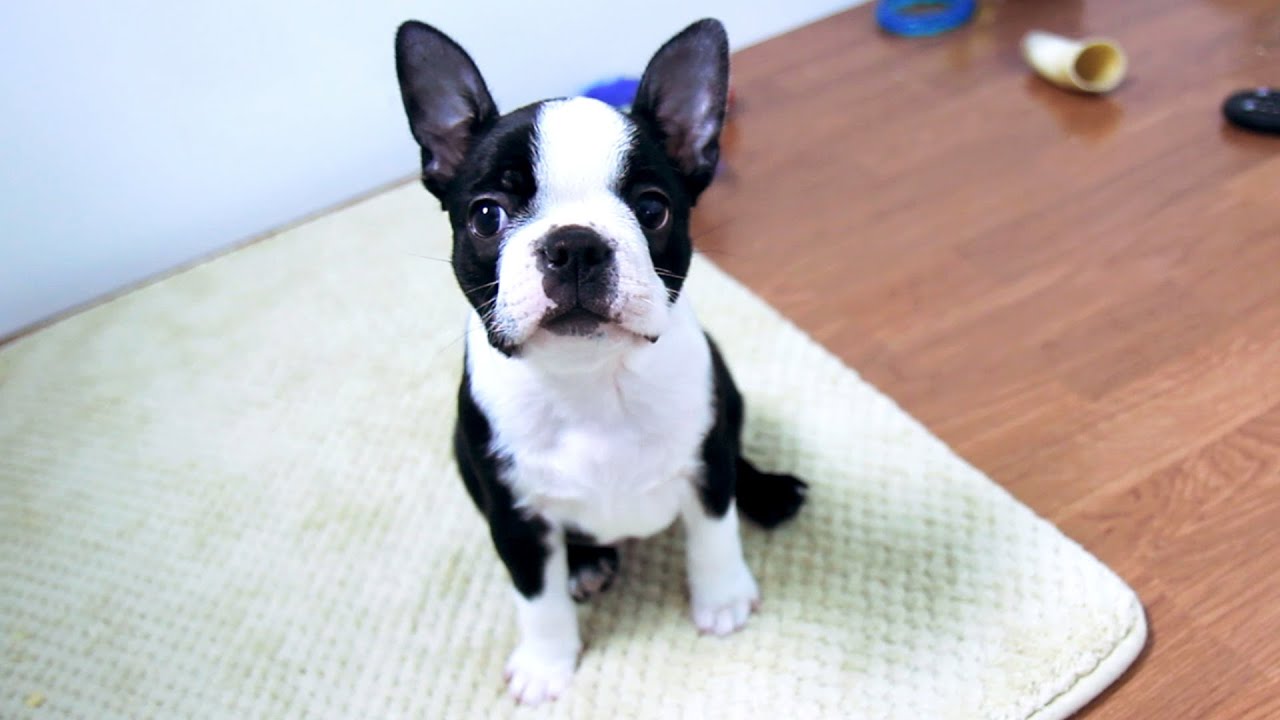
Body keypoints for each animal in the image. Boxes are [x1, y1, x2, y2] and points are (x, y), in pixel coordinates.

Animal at [394, 19, 803, 702]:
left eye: (653, 209)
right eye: (486, 215)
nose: (575, 245)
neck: (589, 379)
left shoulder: (707, 459)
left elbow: (714, 532)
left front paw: (721, 599)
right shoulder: (514, 518)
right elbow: (537, 599)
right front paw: (547, 664)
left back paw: (770, 493)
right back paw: (585, 565)